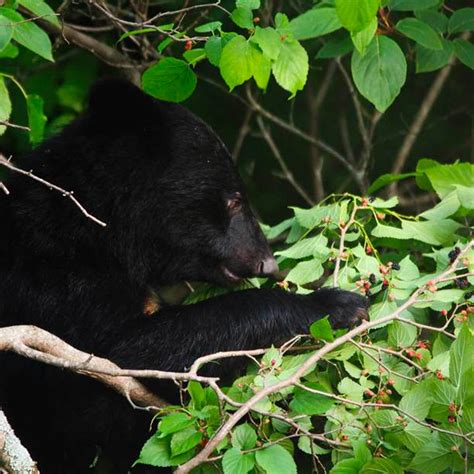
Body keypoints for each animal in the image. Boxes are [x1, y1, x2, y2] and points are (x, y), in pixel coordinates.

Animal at [0, 79, 366, 472]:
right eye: (234, 199)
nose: (266, 263)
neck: (99, 227)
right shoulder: (54, 280)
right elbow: (124, 353)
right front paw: (335, 304)